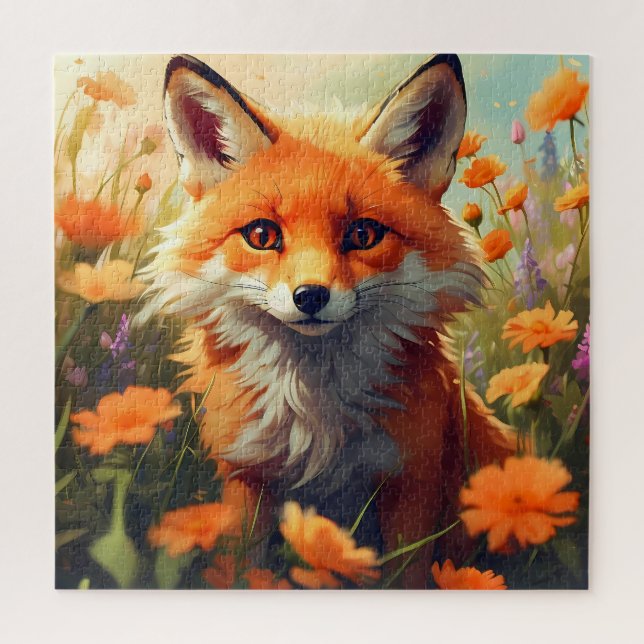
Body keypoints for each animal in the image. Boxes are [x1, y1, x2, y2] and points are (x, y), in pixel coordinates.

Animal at [137, 54, 516, 588]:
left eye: (363, 234)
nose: (310, 296)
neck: (314, 413)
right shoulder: (245, 476)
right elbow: (243, 568)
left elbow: (407, 574)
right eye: (261, 235)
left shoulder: (411, 481)